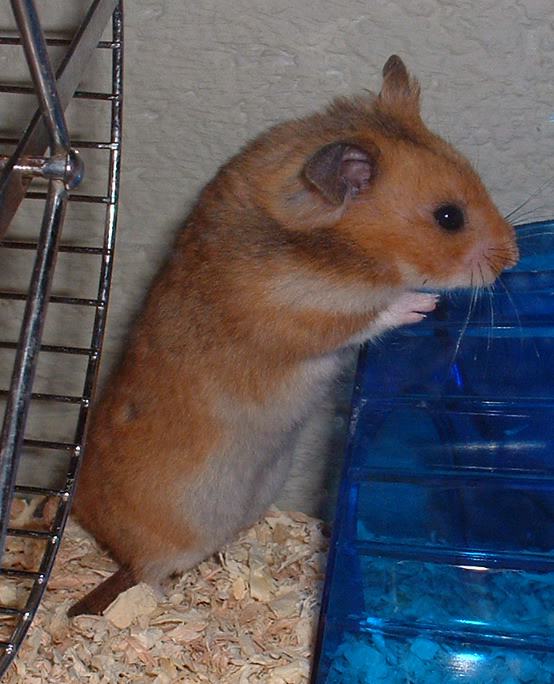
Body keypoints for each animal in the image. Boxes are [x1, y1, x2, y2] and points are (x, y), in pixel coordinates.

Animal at [68, 55, 518, 616]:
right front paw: (423, 304)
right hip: (163, 545)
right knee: (140, 578)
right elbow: (371, 316)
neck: (334, 255)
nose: (515, 257)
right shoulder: (305, 319)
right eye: (449, 217)